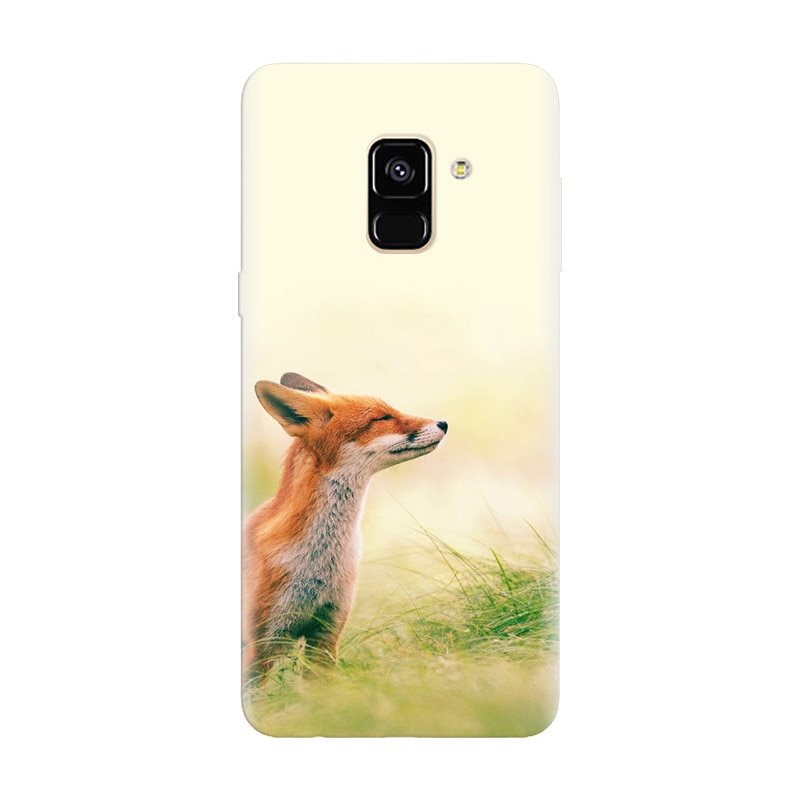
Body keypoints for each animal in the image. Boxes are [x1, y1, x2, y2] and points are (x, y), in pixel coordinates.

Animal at [243, 372, 448, 681]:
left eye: (391, 410)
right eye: (382, 418)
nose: (444, 423)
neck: (319, 563)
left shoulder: (326, 633)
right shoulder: (260, 646)